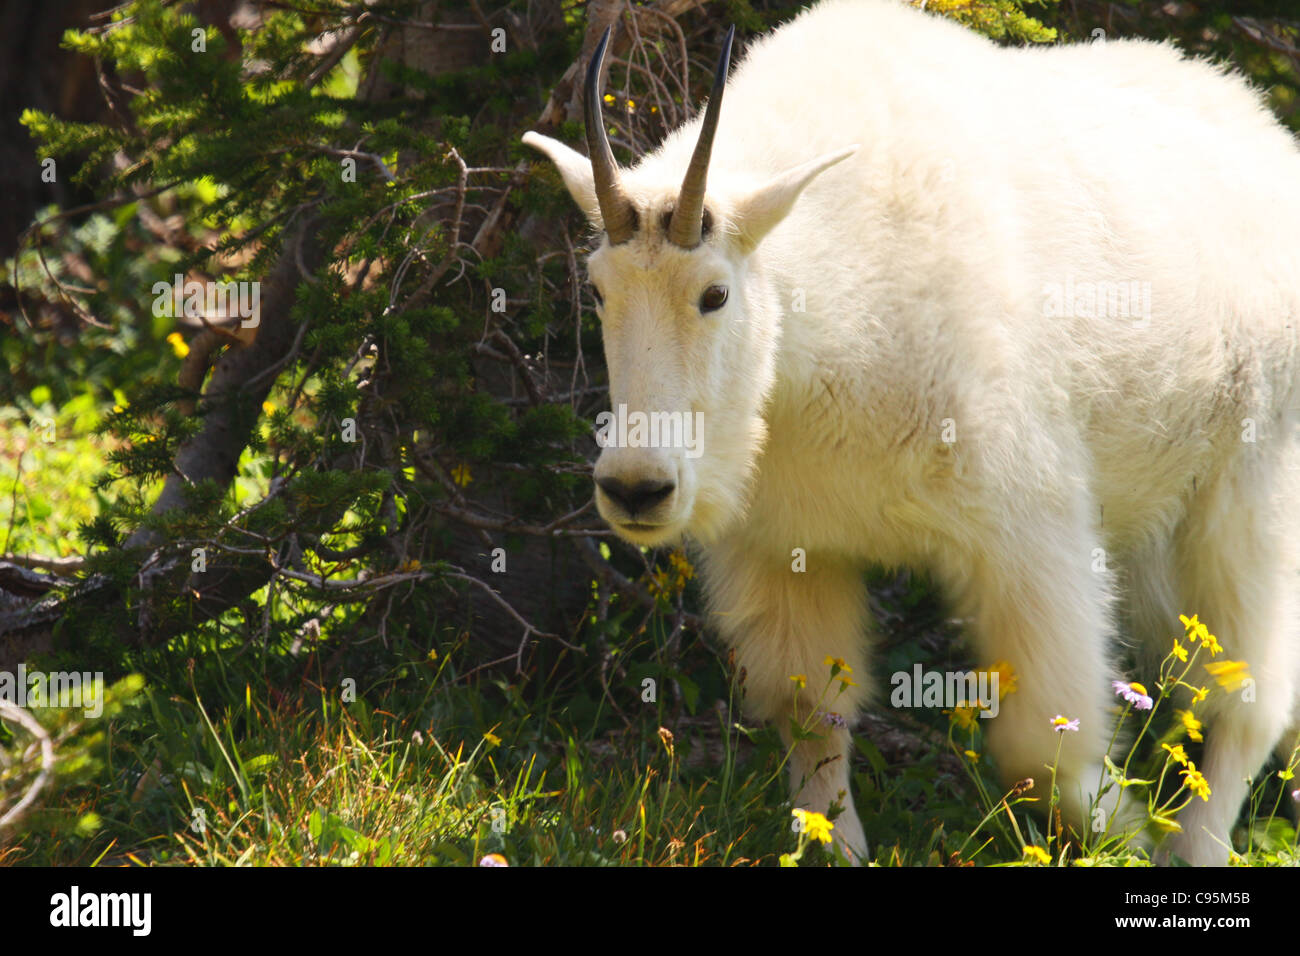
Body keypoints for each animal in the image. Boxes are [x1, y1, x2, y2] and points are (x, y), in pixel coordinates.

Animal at [523, 0, 1300, 865]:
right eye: (599, 289)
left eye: (715, 293)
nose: (636, 489)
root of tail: (1272, 138)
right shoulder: (786, 546)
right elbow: (809, 711)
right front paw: (836, 843)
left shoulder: (1029, 531)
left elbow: (1040, 744)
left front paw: (1124, 831)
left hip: (1251, 480)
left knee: (1246, 696)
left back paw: (1190, 846)